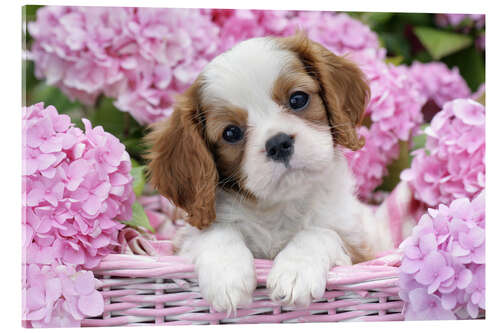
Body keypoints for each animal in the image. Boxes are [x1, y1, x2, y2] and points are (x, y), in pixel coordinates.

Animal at [145, 33, 394, 314]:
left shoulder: (360, 249)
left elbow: (320, 233)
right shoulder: (182, 242)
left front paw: (295, 272)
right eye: (231, 133)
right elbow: (215, 233)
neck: (278, 206)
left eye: (298, 99)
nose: (278, 143)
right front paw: (227, 274)